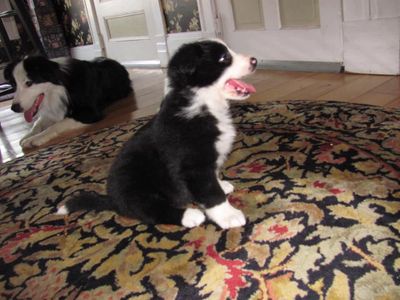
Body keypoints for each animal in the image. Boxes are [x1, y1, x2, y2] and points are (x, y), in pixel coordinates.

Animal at [3, 55, 132, 149]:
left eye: (29, 83)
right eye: (14, 85)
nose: (14, 108)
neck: (61, 88)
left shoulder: (90, 113)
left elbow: (57, 125)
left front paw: (35, 138)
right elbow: (37, 123)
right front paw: (28, 136)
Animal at [57, 39, 258, 227]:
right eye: (224, 58)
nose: (254, 60)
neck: (204, 104)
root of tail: (113, 201)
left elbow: (213, 177)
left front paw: (222, 185)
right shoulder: (193, 166)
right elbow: (211, 193)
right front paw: (228, 215)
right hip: (136, 187)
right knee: (152, 211)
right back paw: (190, 215)